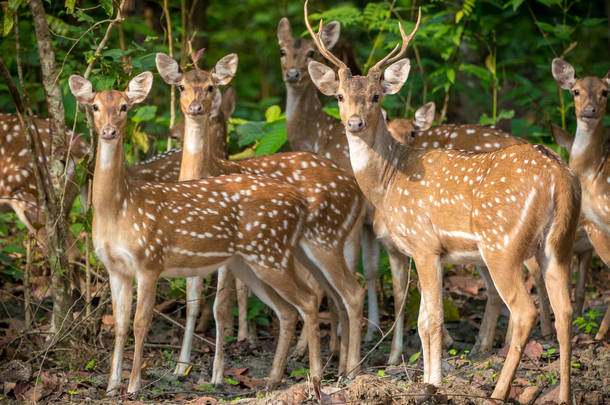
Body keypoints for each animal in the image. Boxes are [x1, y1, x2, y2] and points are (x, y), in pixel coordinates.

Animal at [67, 71, 324, 392]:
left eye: (125, 106)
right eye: (95, 106)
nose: (109, 131)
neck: (120, 208)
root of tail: (300, 201)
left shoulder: (150, 260)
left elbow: (140, 323)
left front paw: (134, 384)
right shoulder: (115, 268)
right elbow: (120, 323)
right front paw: (112, 386)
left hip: (269, 254)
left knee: (308, 299)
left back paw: (316, 377)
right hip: (251, 263)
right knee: (288, 310)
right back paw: (273, 379)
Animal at [276, 16, 408, 362]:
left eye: (311, 52)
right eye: (282, 50)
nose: (292, 74)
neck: (315, 135)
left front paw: (324, 346)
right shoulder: (366, 223)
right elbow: (371, 270)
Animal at [306, 2, 576, 400]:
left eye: (376, 96)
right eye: (339, 96)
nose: (354, 123)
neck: (388, 181)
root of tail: (559, 177)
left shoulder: (424, 243)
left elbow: (429, 320)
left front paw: (431, 384)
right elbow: (422, 318)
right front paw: (430, 379)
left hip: (502, 243)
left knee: (523, 310)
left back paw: (497, 392)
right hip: (557, 245)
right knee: (567, 311)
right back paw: (564, 394)